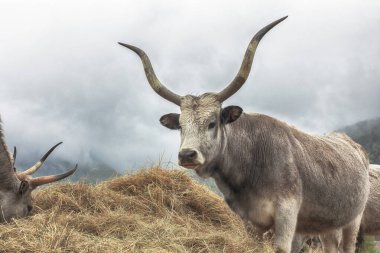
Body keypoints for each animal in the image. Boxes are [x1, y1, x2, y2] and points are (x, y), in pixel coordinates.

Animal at [118, 16, 368, 252]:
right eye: (180, 125)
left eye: (212, 123)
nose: (187, 155)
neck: (251, 164)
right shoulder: (250, 221)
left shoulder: (287, 213)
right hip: (327, 224)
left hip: (353, 220)